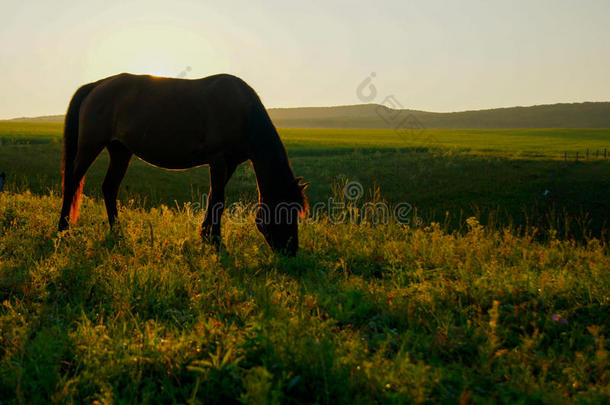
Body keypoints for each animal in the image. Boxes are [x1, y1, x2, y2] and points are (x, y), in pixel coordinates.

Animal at [58, 72, 306, 254]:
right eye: (287, 210)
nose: (291, 251)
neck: (243, 112)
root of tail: (97, 85)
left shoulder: (230, 163)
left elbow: (213, 198)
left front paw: (206, 236)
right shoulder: (218, 160)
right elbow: (219, 200)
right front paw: (216, 241)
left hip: (120, 151)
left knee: (109, 188)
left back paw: (117, 232)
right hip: (91, 146)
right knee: (72, 183)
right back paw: (63, 230)